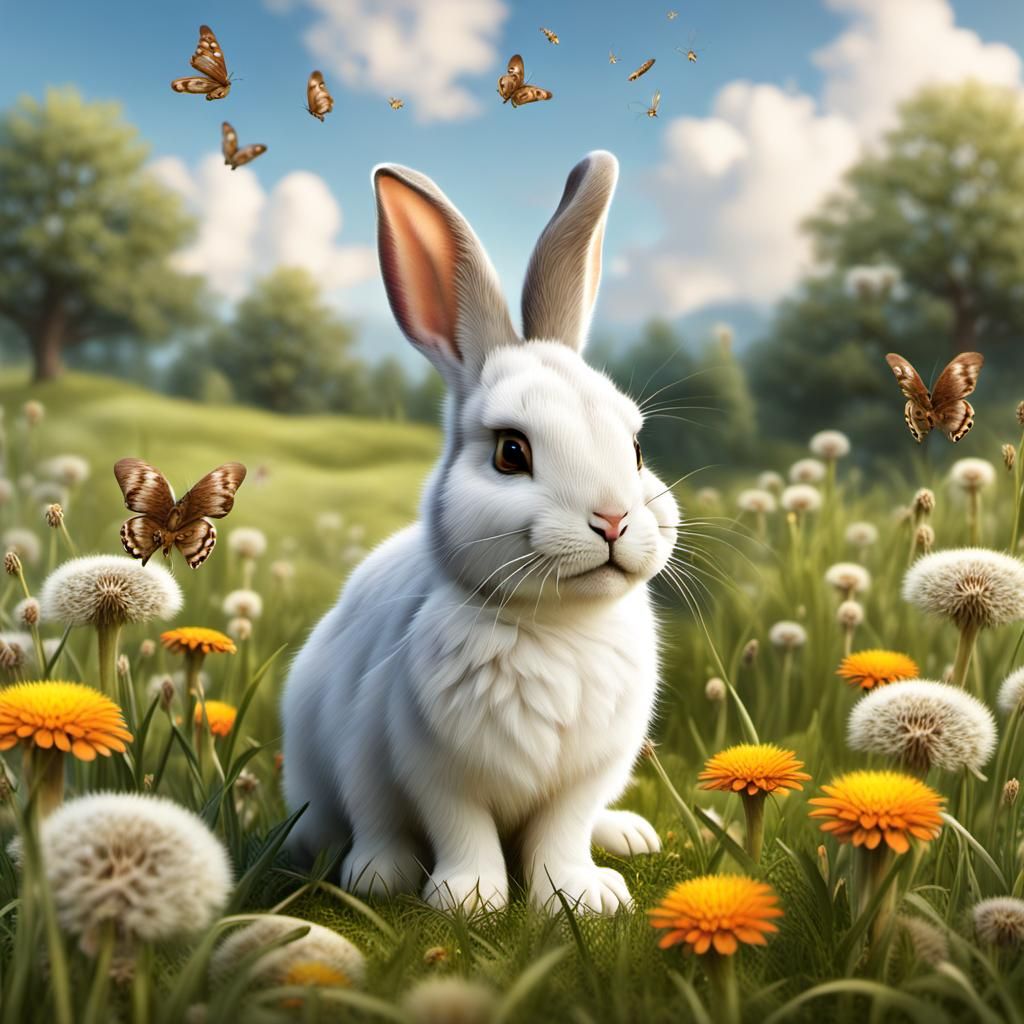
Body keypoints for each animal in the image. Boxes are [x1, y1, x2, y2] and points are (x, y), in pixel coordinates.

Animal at [281, 150, 679, 915]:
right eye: (510, 453)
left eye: (638, 448)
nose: (613, 519)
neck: (558, 628)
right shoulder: (432, 768)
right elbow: (462, 830)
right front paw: (468, 900)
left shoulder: (584, 777)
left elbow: (562, 834)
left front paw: (582, 897)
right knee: (357, 822)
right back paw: (378, 872)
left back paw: (629, 835)